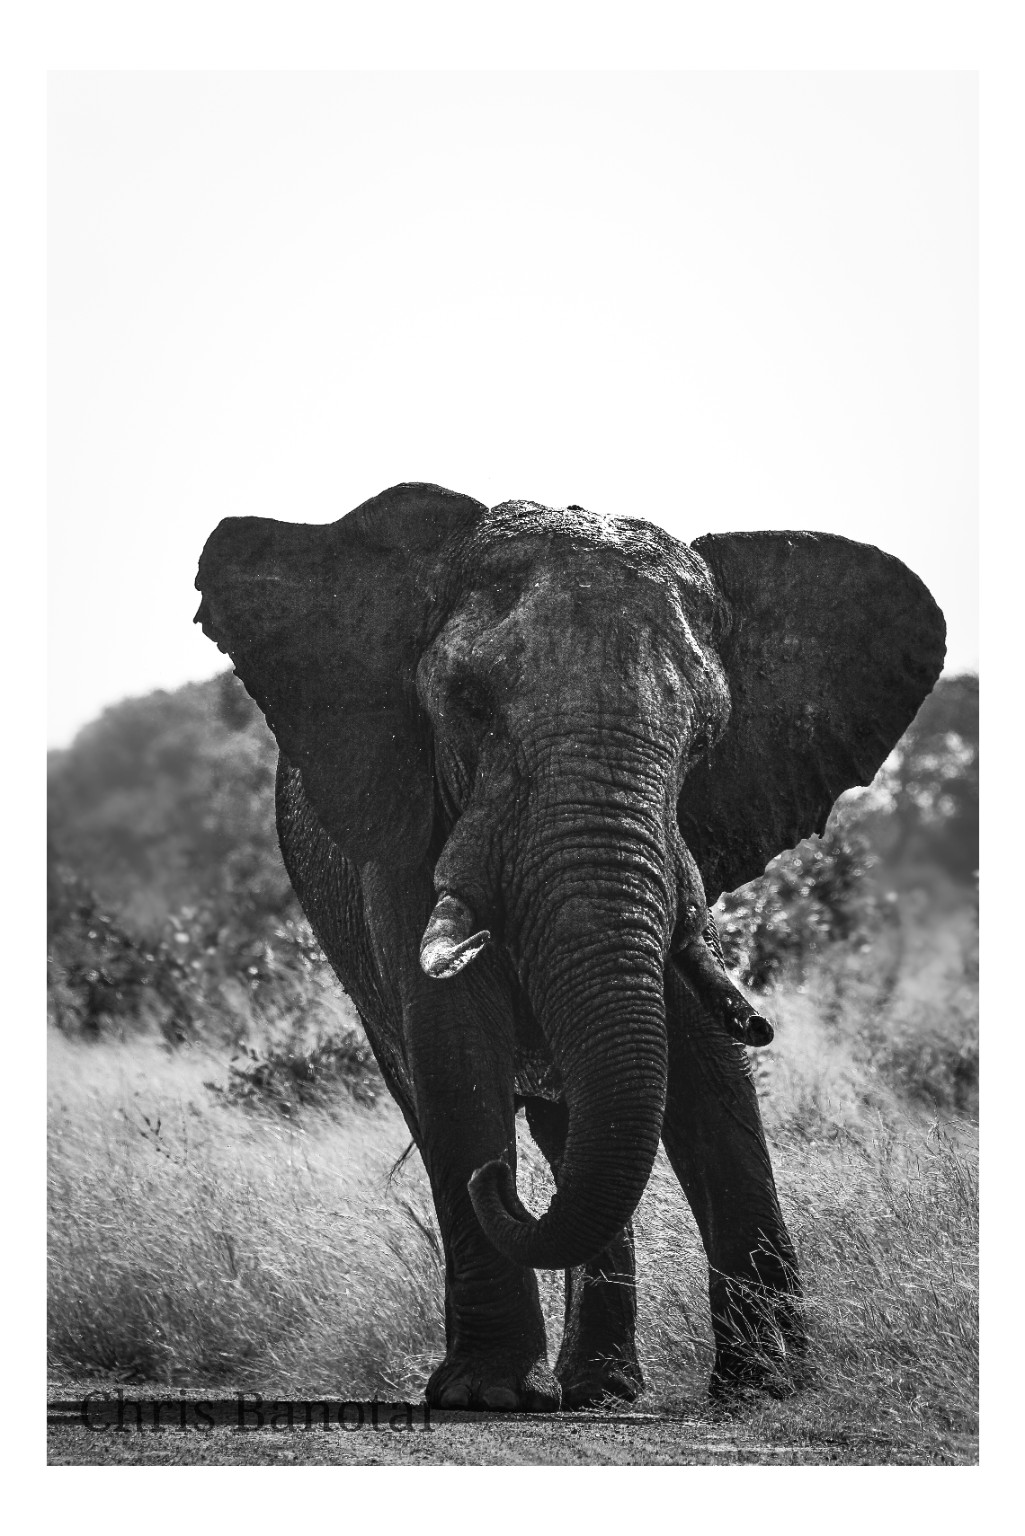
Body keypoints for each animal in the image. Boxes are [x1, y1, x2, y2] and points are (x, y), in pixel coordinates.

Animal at [195, 483, 945, 1410]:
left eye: (705, 739)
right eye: (469, 704)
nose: (492, 1182)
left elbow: (703, 1065)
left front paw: (771, 1385)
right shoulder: (399, 830)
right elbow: (454, 1045)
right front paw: (484, 1395)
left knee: (577, 1125)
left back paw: (602, 1388)